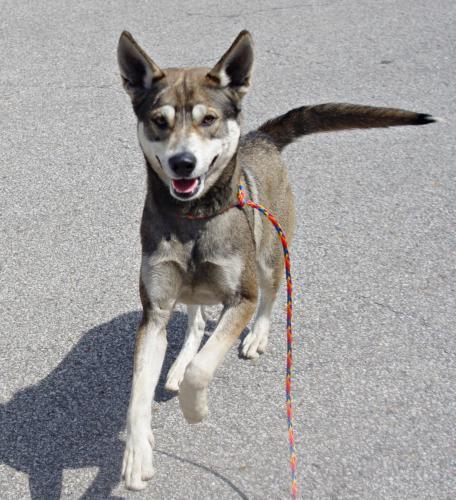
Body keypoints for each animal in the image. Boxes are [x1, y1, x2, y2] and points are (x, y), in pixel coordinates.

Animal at [116, 30, 436, 488]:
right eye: (160, 120)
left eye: (209, 119)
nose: (183, 163)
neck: (194, 217)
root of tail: (262, 137)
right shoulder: (155, 310)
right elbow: (138, 393)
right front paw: (137, 452)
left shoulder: (242, 297)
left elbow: (204, 368)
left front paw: (197, 409)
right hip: (192, 288)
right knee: (196, 320)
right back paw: (178, 363)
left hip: (270, 255)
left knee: (271, 296)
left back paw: (257, 336)